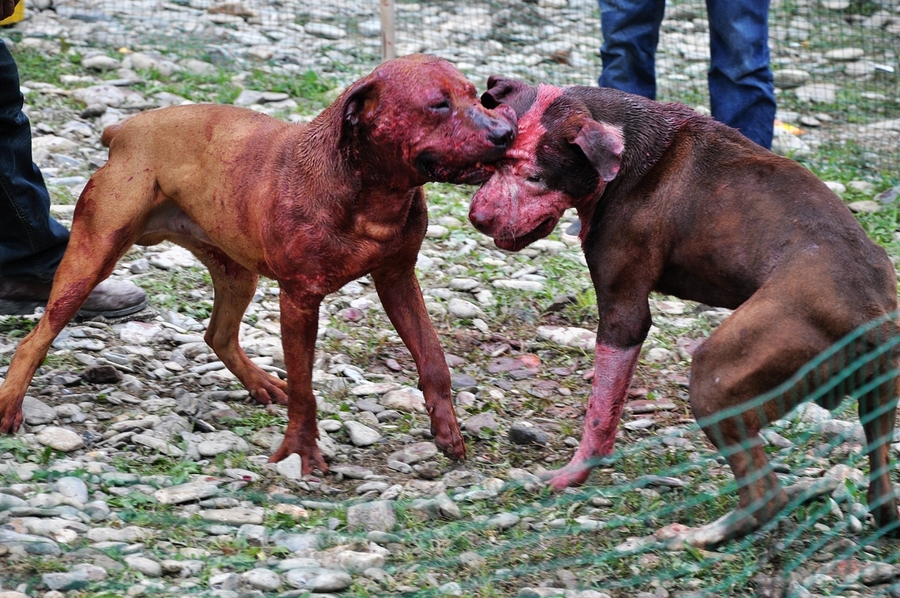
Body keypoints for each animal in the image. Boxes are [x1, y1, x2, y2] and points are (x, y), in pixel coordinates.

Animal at [0, 55, 512, 478]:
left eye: (478, 95)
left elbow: (433, 359)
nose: (506, 133)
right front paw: (301, 448)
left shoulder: (398, 278)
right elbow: (305, 388)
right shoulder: (300, 298)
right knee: (34, 339)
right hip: (90, 261)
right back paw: (10, 404)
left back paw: (261, 382)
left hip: (235, 273)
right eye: (437, 105)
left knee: (218, 334)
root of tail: (125, 130)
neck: (370, 193)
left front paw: (447, 430)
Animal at [468, 77, 896, 552]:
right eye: (494, 162)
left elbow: (600, 413)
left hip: (717, 376)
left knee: (765, 494)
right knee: (880, 490)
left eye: (536, 176)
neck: (626, 149)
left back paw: (697, 536)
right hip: (878, 399)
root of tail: (871, 316)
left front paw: (575, 473)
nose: (478, 216)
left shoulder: (623, 317)